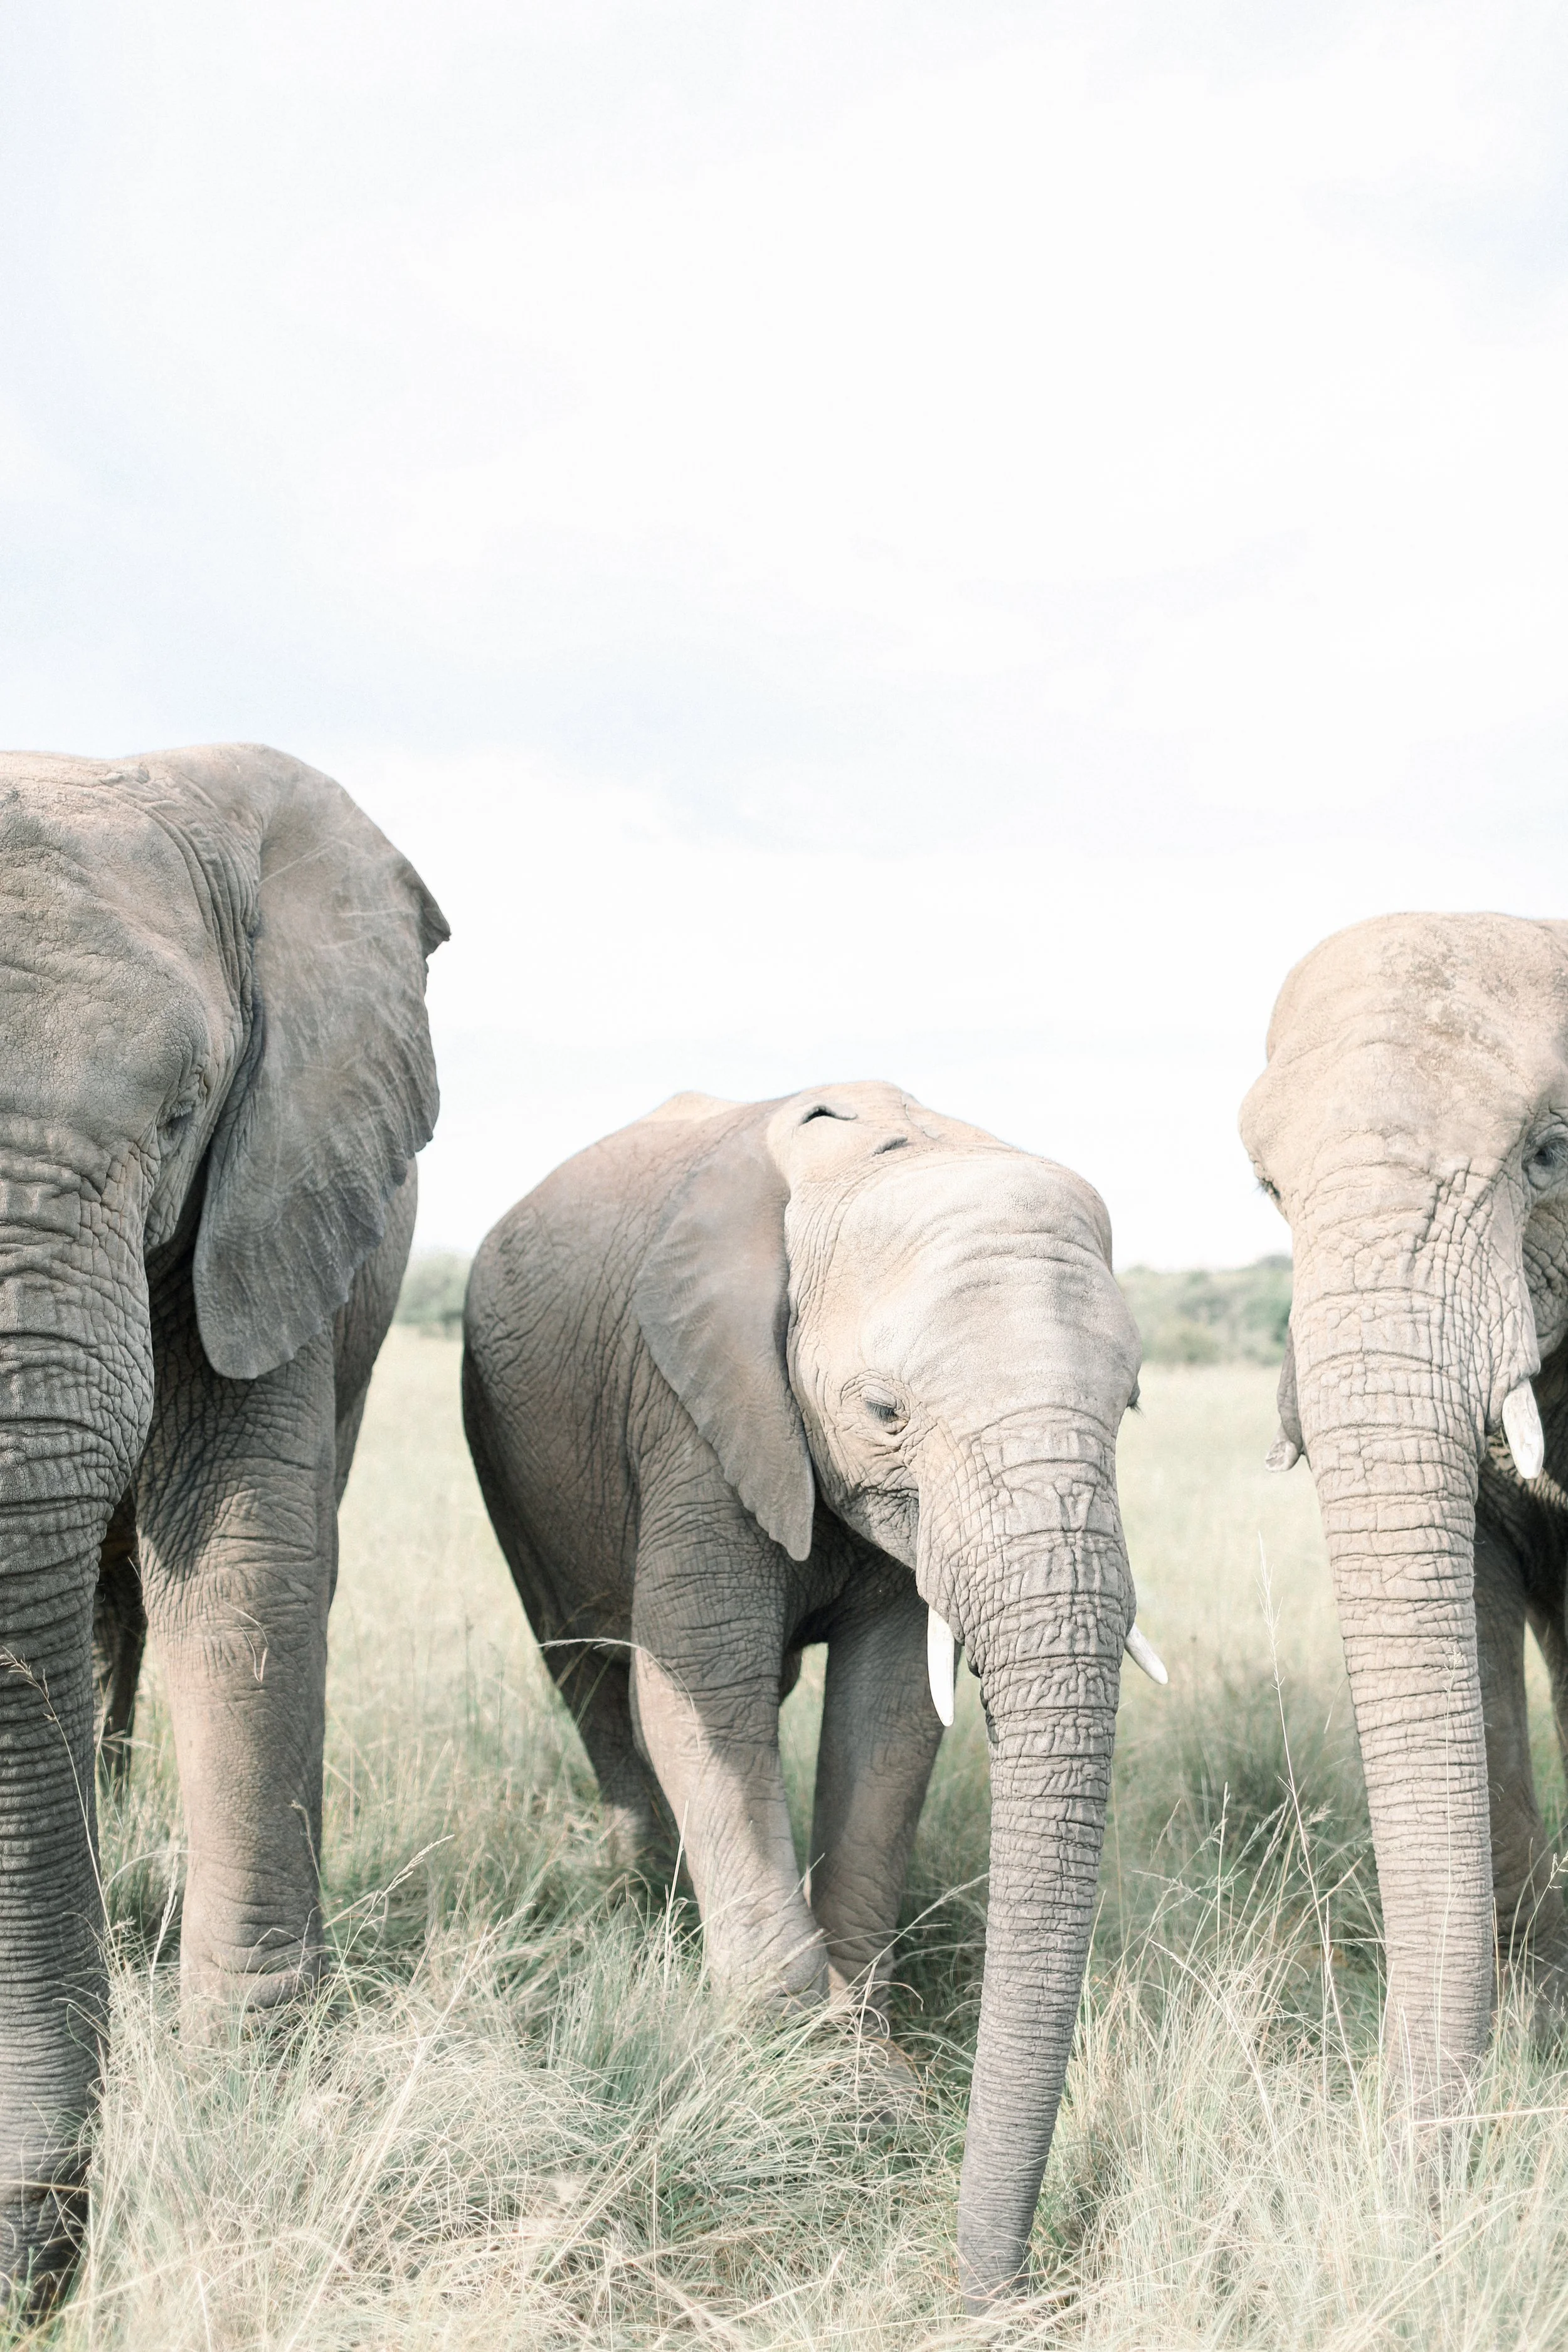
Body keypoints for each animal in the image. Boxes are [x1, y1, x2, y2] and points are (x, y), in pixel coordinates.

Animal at [461, 1081, 1165, 2308]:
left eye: (1127, 1402)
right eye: (884, 1410)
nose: (985, 2294)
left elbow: (893, 1713)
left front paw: (861, 2064)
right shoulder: (691, 1405)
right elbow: (703, 1683)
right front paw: (797, 2079)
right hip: (514, 1454)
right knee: (589, 1673)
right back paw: (648, 1910)